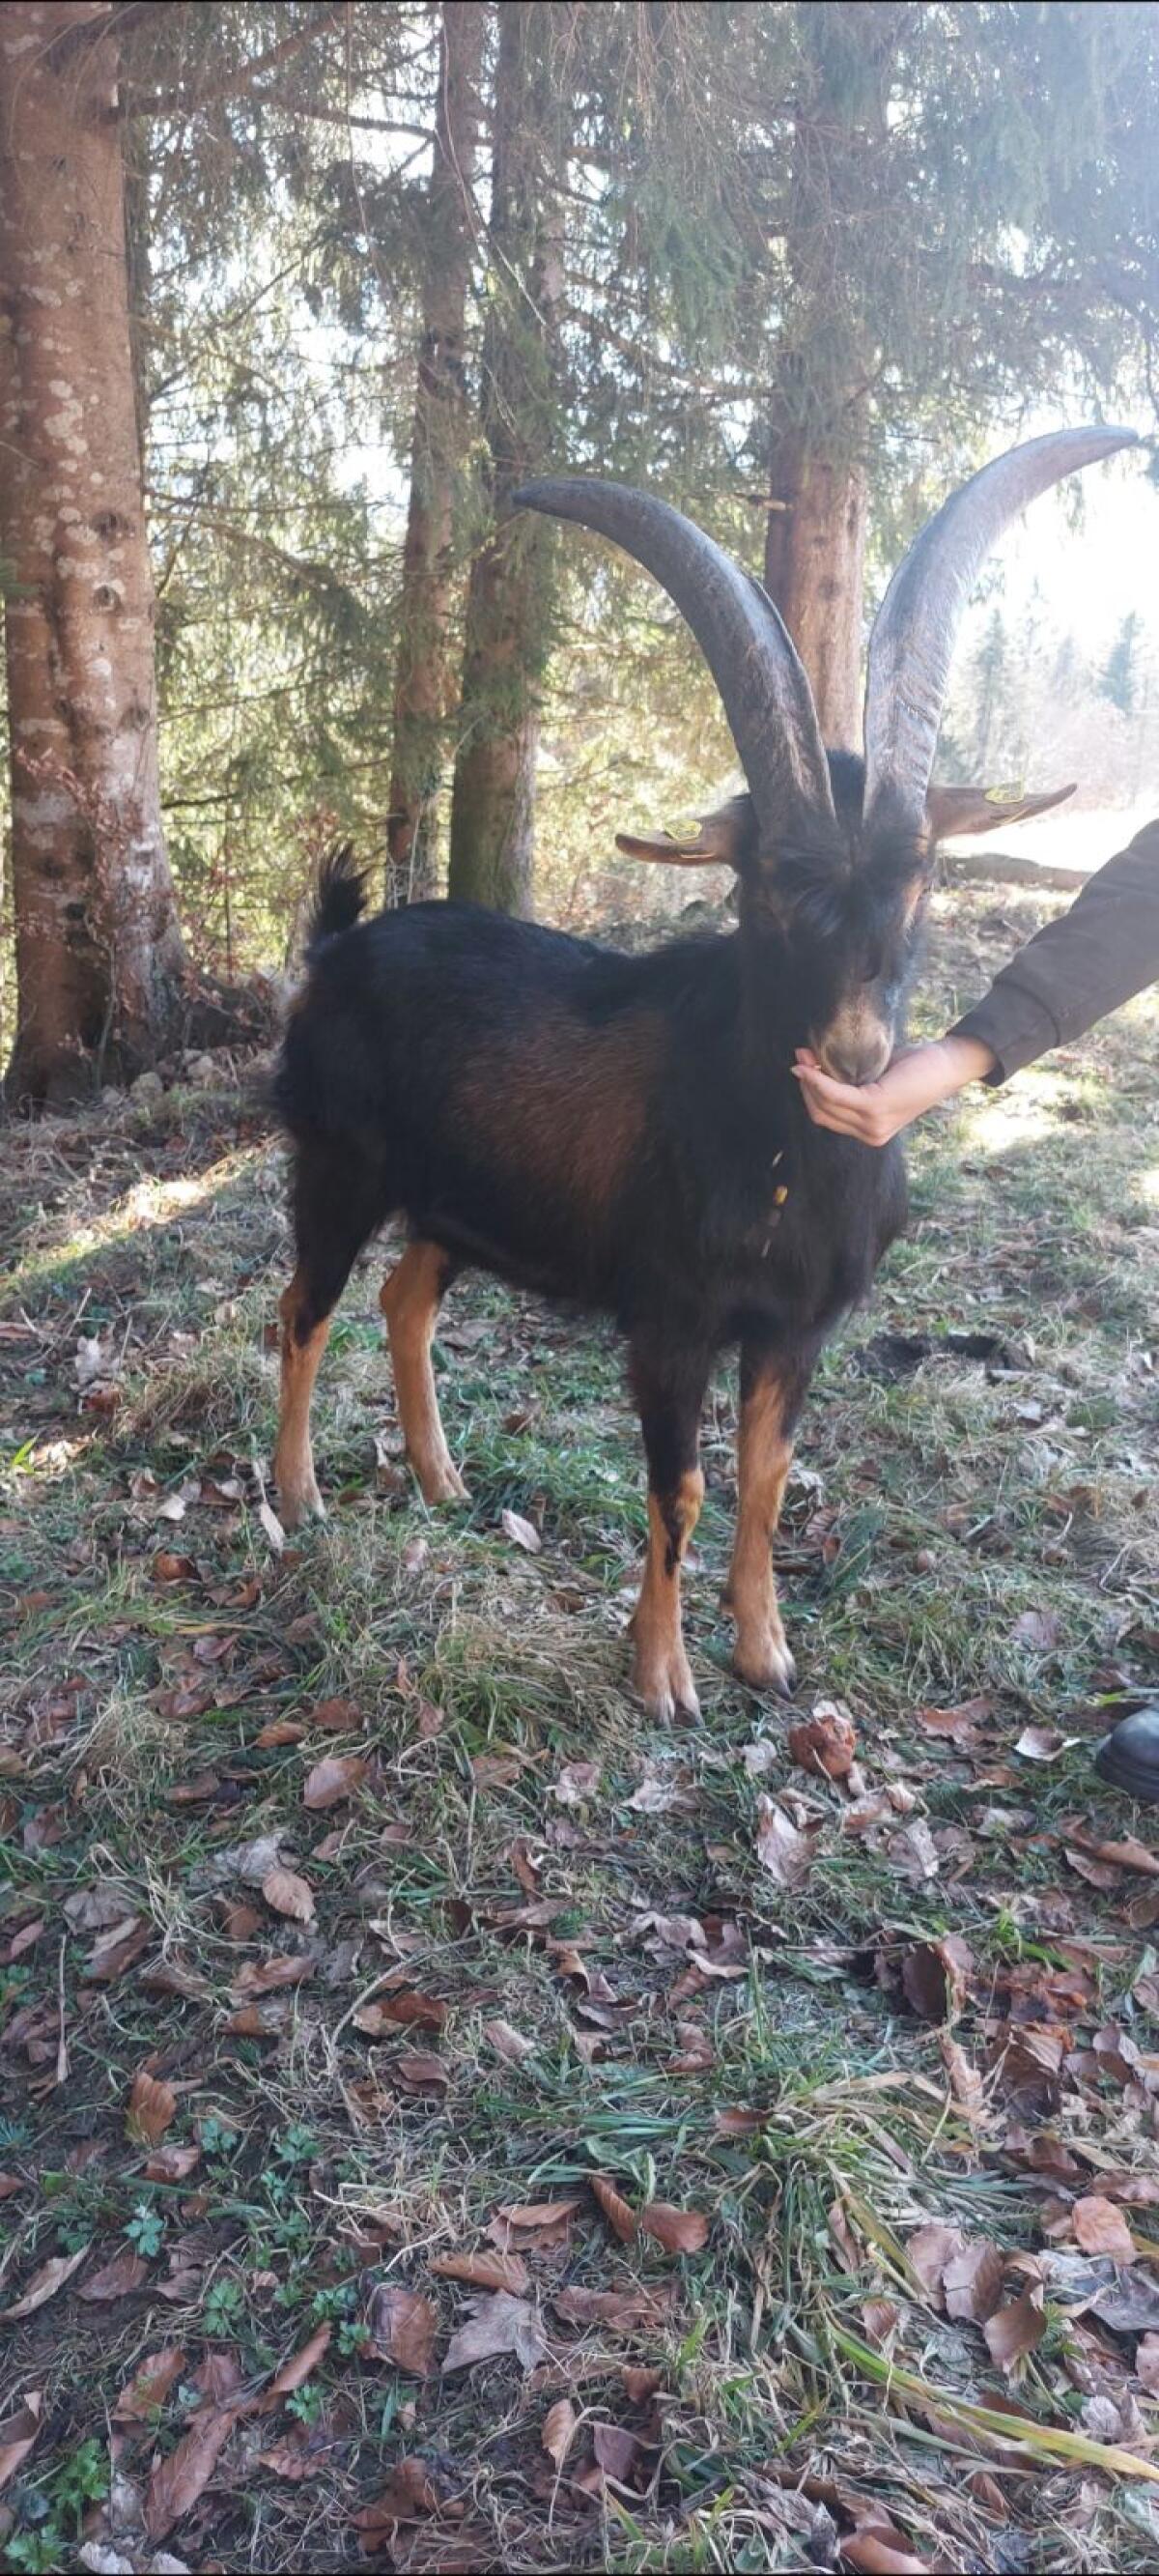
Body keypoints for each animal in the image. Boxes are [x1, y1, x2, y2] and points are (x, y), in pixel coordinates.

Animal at [273, 425, 1134, 1720]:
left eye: (923, 870)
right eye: (769, 882)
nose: (857, 1052)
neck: (780, 1154)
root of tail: (337, 947)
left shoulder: (799, 1326)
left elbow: (767, 1477)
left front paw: (765, 1650)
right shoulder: (671, 1318)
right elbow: (678, 1485)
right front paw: (663, 1674)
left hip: (463, 1204)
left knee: (405, 1298)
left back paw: (440, 1477)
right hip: (337, 1165)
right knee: (306, 1307)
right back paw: (298, 1495)